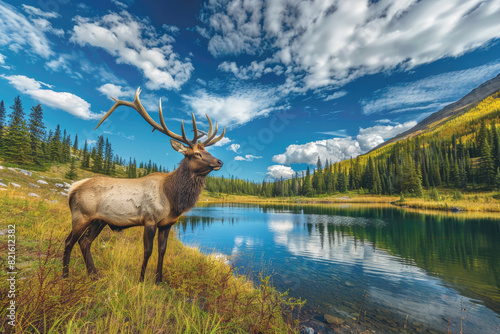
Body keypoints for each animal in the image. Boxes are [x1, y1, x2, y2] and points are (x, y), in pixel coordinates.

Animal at [62, 87, 227, 284]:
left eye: (207, 151)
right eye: (196, 154)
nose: (219, 161)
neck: (172, 198)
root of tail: (73, 188)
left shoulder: (167, 224)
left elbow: (162, 251)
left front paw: (159, 280)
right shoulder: (150, 219)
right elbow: (147, 251)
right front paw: (141, 280)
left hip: (98, 220)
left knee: (85, 242)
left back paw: (94, 275)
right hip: (81, 215)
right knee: (69, 241)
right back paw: (65, 276)